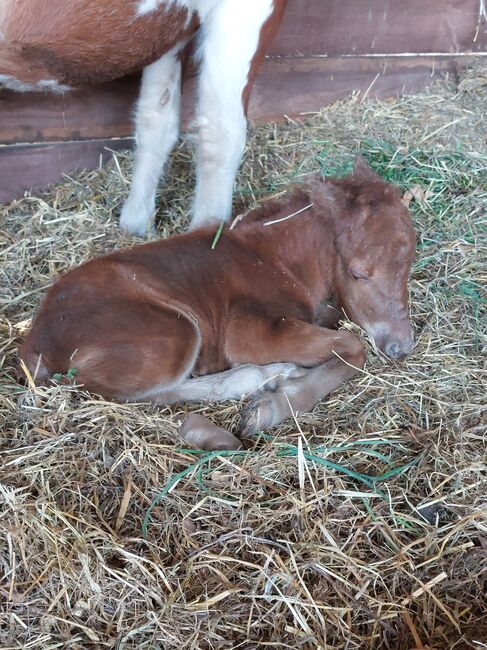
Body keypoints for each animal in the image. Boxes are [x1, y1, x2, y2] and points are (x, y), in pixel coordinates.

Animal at [20, 158, 416, 450]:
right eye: (358, 272)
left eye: (410, 261)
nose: (401, 346)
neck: (276, 259)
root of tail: (35, 345)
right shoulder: (252, 331)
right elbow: (352, 347)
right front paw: (270, 408)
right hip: (174, 333)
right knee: (132, 394)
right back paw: (259, 380)